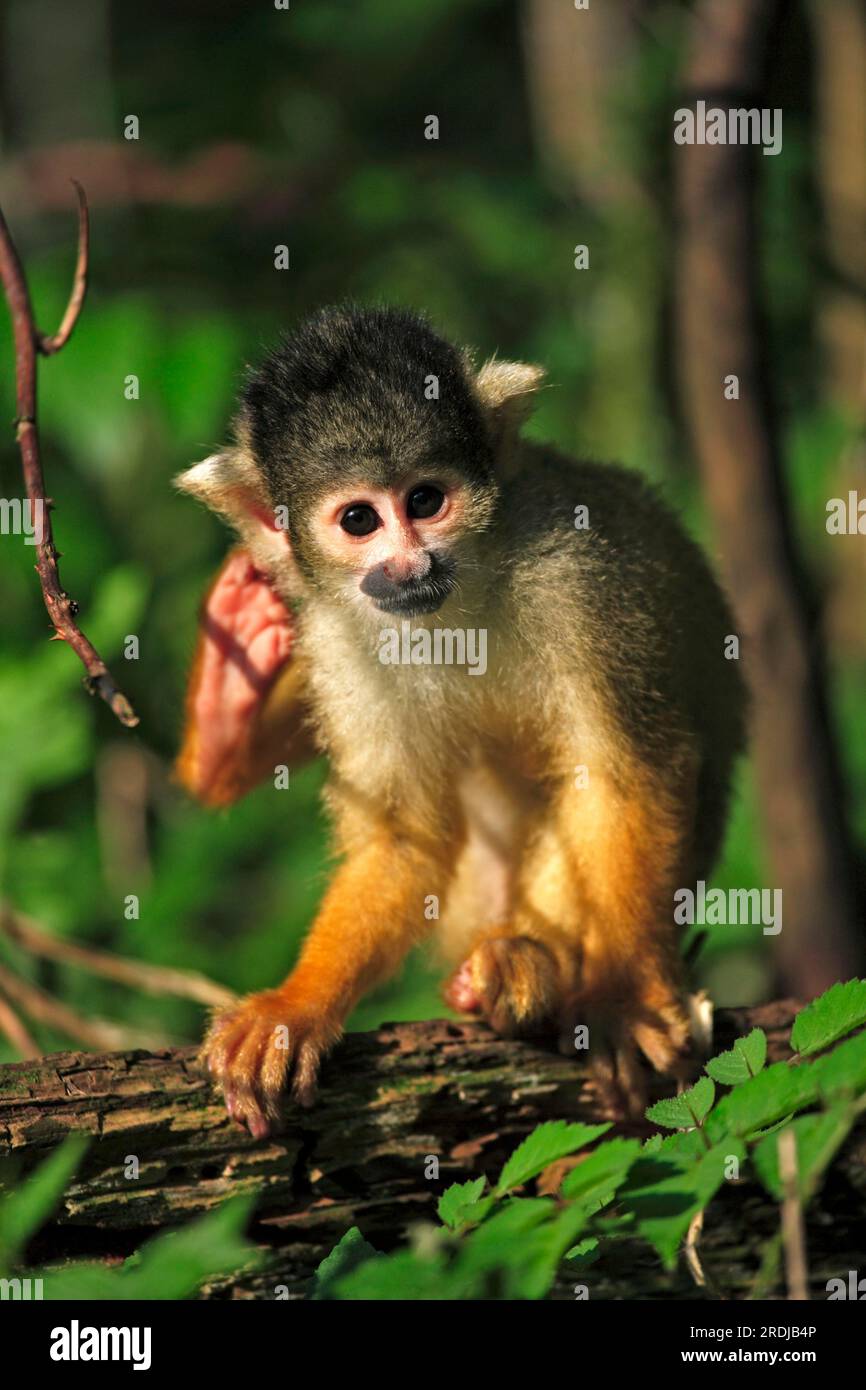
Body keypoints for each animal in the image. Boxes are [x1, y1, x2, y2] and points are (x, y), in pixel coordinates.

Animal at [175, 303, 747, 1139]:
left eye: (424, 502)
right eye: (359, 519)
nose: (410, 567)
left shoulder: (580, 572)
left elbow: (626, 773)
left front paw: (625, 996)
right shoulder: (339, 637)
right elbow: (403, 833)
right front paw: (296, 1007)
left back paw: (531, 968)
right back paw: (228, 704)